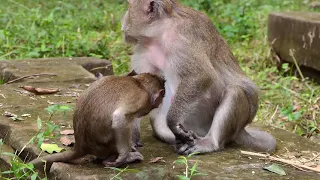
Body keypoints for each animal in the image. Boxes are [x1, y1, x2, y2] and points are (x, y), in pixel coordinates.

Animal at [29, 70, 165, 169]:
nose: (159, 103)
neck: (139, 83)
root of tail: (80, 146)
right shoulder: (140, 99)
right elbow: (120, 118)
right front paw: (123, 157)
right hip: (104, 146)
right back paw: (118, 158)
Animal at [121, 0, 276, 155]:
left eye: (130, 4)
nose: (123, 18)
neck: (160, 33)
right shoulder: (144, 50)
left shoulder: (182, 41)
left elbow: (201, 76)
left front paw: (173, 122)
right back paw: (175, 139)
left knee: (234, 92)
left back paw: (209, 142)